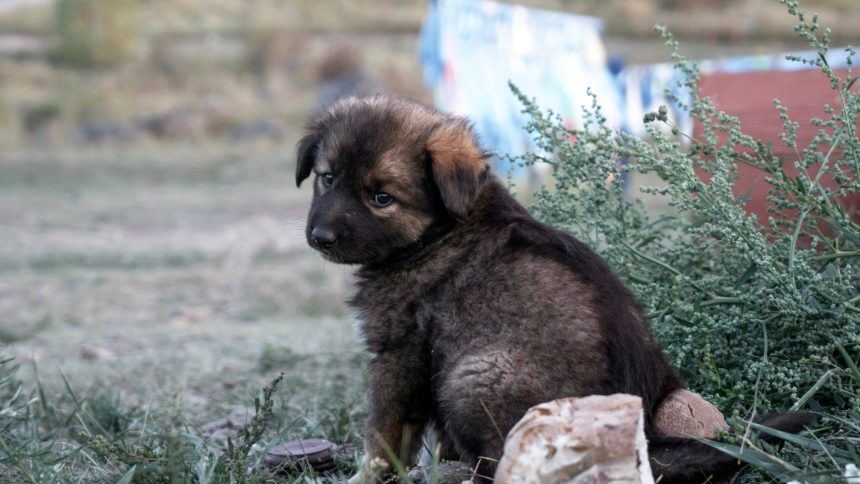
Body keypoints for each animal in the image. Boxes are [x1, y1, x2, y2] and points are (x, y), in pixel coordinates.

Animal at [298, 96, 812, 482]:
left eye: (382, 197)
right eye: (327, 178)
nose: (320, 237)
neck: (439, 230)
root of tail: (643, 442)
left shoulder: (401, 354)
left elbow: (385, 434)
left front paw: (368, 476)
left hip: (471, 375)